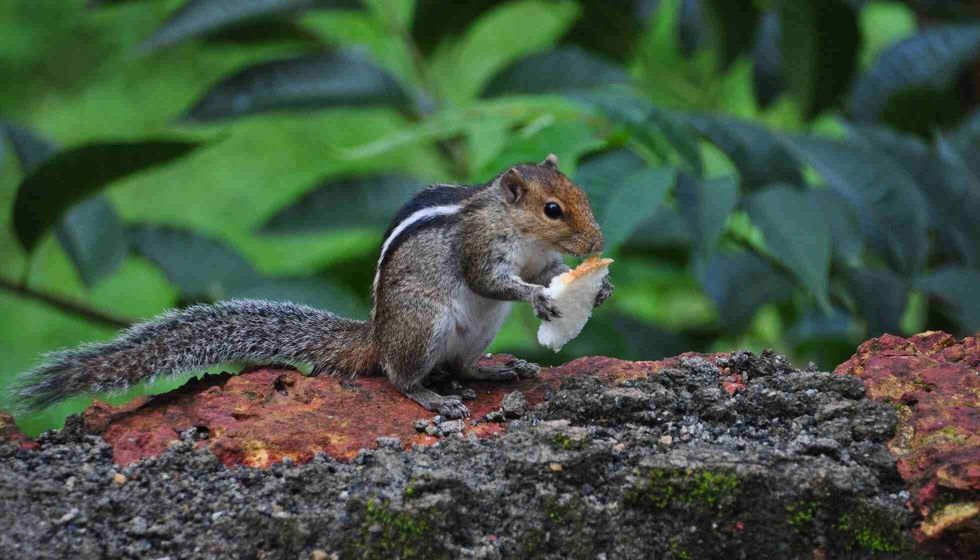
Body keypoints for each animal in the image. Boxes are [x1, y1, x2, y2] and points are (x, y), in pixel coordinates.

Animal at [11, 155, 612, 418]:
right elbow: (490, 279)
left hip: (477, 331)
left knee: (462, 365)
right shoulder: (480, 246)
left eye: (581, 192)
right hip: (424, 324)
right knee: (399, 376)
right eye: (553, 209)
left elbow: (545, 272)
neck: (516, 227)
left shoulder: (538, 258)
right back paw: (431, 396)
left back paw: (495, 369)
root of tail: (377, 335)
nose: (598, 238)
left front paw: (594, 291)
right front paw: (540, 297)